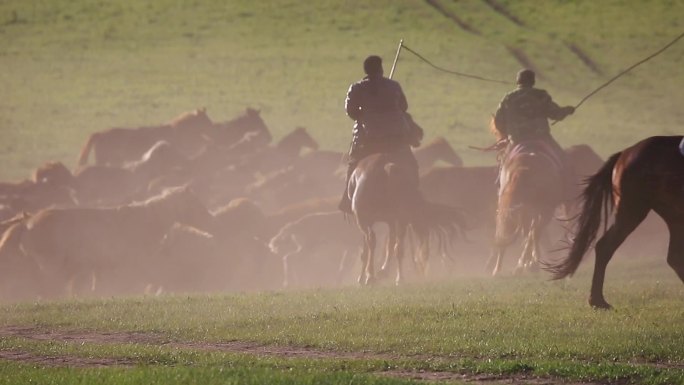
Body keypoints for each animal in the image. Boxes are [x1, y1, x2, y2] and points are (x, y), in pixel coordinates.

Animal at [544, 136, 684, 308]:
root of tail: (625, 154)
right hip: (633, 211)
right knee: (605, 247)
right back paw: (598, 301)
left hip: (672, 216)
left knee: (674, 257)